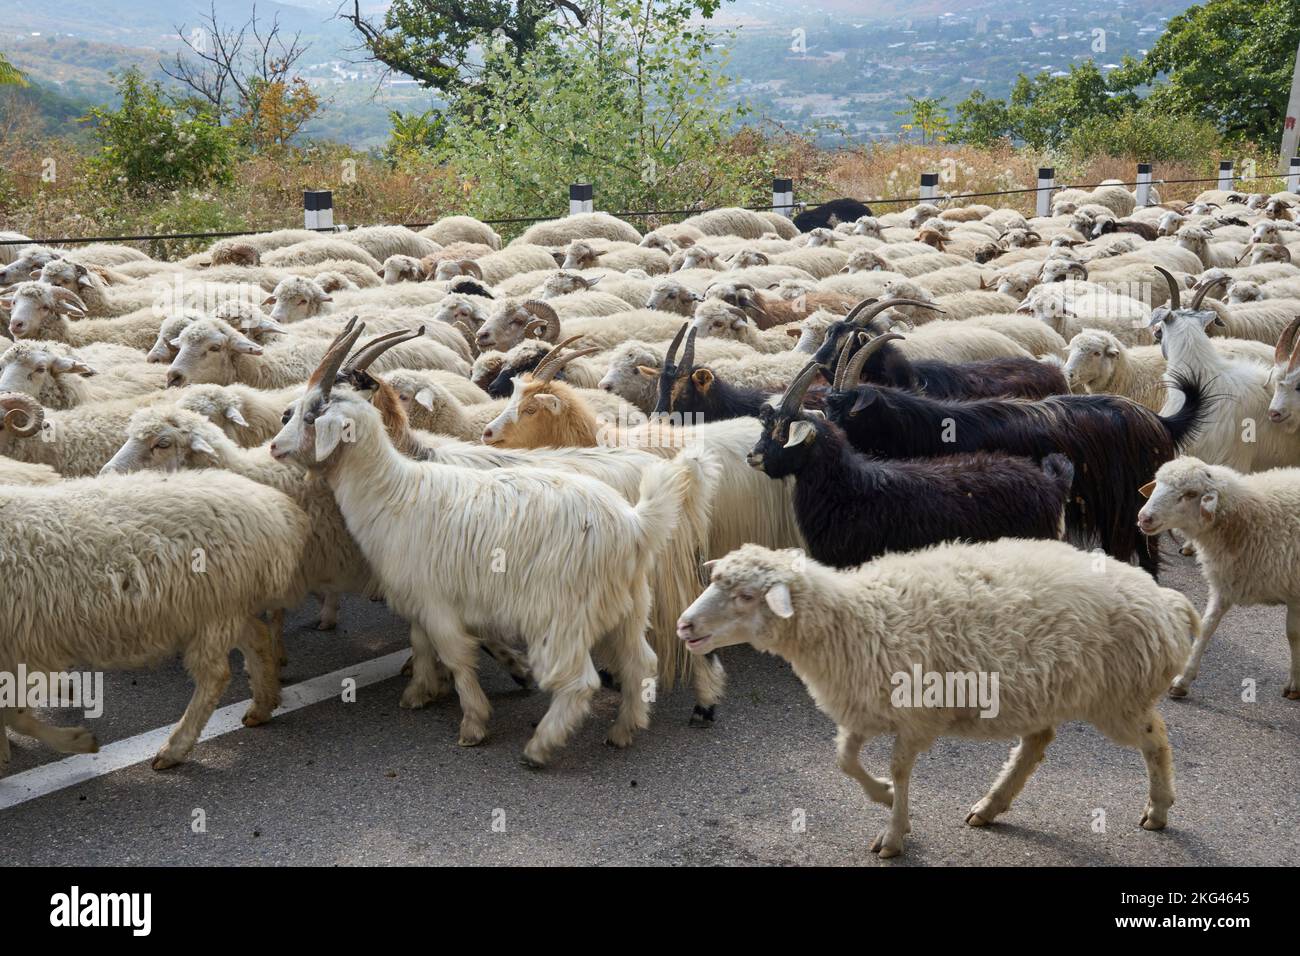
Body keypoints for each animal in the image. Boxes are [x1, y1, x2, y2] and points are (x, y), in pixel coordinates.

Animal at [0, 463, 309, 770]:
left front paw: (79, 740)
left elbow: (15, 715)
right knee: (258, 638)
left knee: (215, 675)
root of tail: (274, 507)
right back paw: (262, 705)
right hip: (225, 607)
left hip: (215, 610)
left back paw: (174, 748)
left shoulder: (22, 649)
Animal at [267, 319, 707, 764]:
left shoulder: (438, 601)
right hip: (630, 607)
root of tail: (636, 521)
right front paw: (421, 690)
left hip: (563, 617)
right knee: (641, 662)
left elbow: (457, 657)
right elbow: (423, 643)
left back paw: (545, 745)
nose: (274, 444)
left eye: (311, 414)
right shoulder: (424, 596)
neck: (396, 486)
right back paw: (623, 728)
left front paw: (473, 720)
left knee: (583, 680)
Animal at [681, 538, 1196, 858]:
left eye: (746, 596)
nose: (685, 625)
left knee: (1157, 738)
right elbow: (844, 759)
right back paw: (991, 805)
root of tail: (1164, 600)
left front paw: (893, 832)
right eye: (715, 581)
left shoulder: (916, 717)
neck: (857, 619)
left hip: (1119, 698)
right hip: (1045, 693)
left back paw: (1159, 808)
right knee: (1036, 744)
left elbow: (898, 770)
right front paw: (884, 798)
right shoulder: (863, 708)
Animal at [1138, 455, 1300, 702]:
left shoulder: (1295, 595)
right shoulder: (1225, 583)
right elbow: (1205, 627)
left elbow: (1293, 636)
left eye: (1191, 494)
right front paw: (1183, 680)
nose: (1144, 518)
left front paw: (1294, 684)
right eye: (1157, 483)